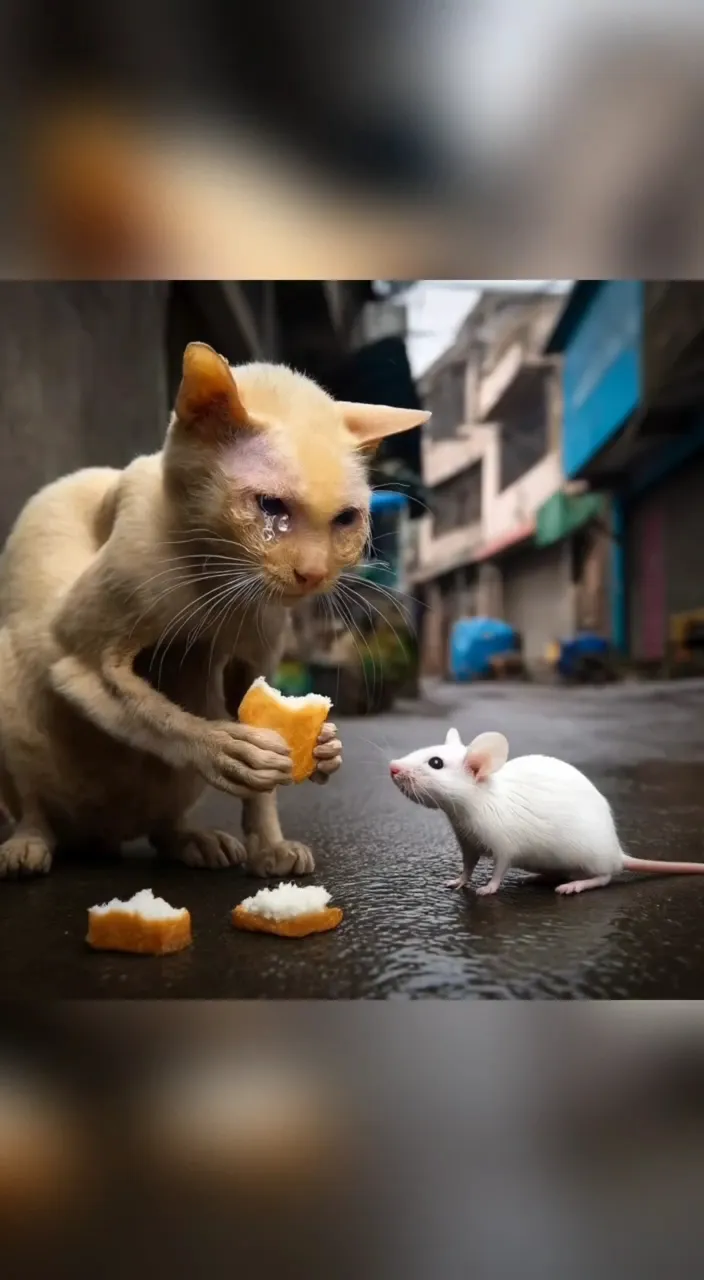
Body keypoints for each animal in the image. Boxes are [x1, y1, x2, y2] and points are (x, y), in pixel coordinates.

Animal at [0, 340, 430, 880]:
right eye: (270, 507)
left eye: (346, 520)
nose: (312, 574)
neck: (215, 587)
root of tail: (99, 837)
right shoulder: (83, 660)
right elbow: (156, 715)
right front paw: (222, 747)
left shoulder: (255, 660)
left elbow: (255, 732)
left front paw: (287, 818)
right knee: (34, 803)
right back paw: (28, 845)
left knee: (161, 823)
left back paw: (194, 841)